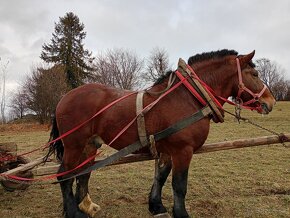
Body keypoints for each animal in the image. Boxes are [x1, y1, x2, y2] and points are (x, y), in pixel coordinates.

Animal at [46, 49, 276, 218]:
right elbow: (179, 185)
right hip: (74, 145)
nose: (271, 101)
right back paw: (74, 212)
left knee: (83, 174)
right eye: (254, 74)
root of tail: (64, 97)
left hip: (90, 145)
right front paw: (181, 214)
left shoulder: (167, 150)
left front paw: (156, 205)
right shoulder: (183, 150)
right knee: (64, 176)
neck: (187, 97)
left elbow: (161, 177)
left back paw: (84, 207)